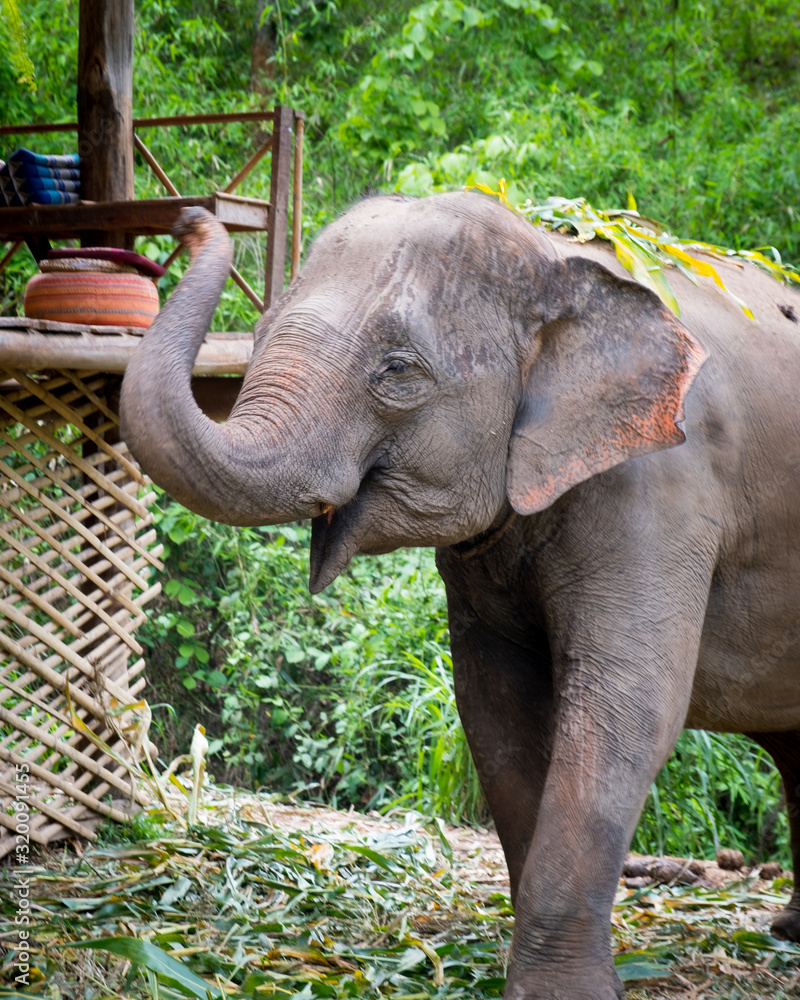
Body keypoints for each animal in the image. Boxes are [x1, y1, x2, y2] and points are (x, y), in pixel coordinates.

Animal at [120, 191, 800, 1000]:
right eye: (255, 335)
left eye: (398, 370)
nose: (188, 219)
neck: (554, 256)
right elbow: (496, 711)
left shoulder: (663, 488)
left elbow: (627, 709)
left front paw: (560, 994)